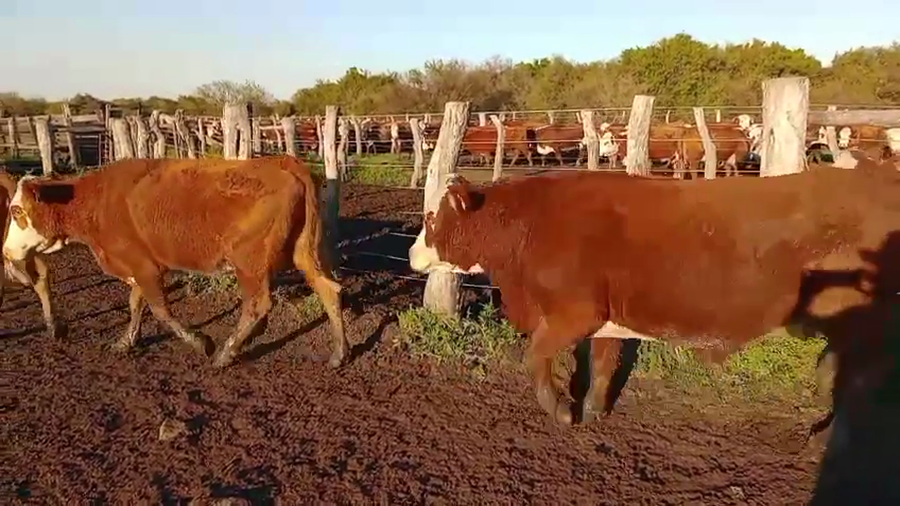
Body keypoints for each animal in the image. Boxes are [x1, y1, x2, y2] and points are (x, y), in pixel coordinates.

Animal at [408, 155, 900, 429]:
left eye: (432, 218)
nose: (412, 254)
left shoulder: (575, 313)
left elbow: (535, 356)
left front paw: (561, 411)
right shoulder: (606, 320)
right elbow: (603, 365)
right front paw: (593, 411)